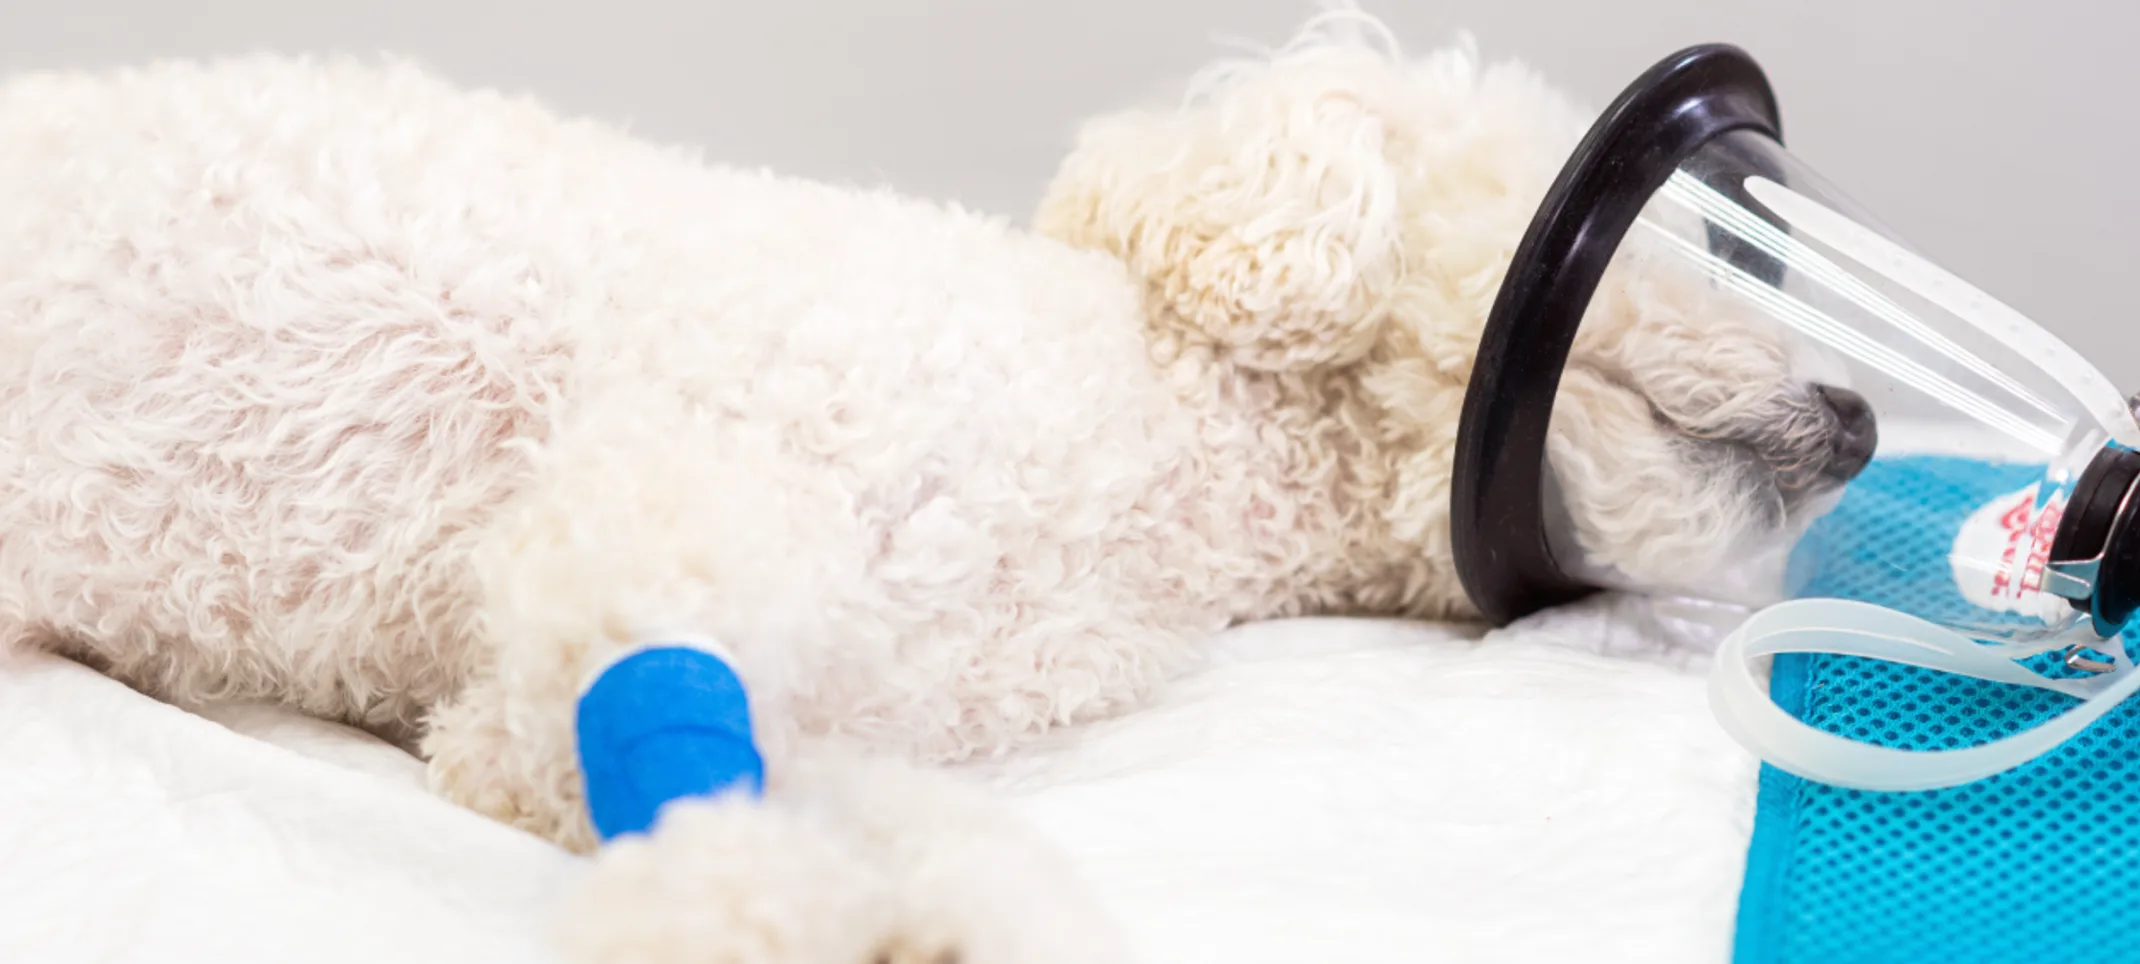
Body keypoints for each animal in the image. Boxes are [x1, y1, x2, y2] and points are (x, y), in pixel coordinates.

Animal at [0, 9, 1866, 964]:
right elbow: (668, 733)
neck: (1179, 446)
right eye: (1712, 239)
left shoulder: (843, 695)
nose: (1858, 416)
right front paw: (739, 910)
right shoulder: (664, 499)